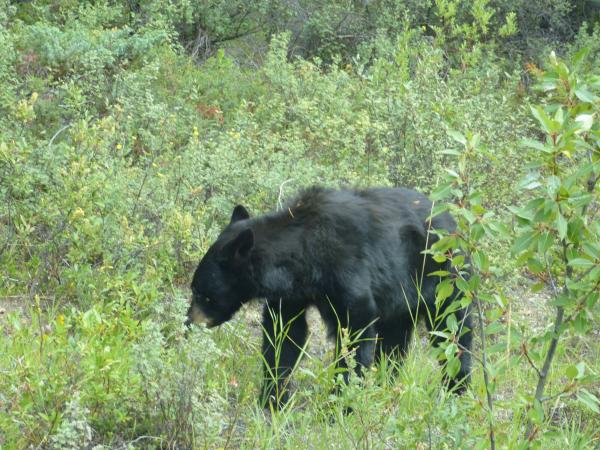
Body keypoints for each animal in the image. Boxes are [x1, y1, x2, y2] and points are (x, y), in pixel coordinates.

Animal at [185, 188, 472, 406]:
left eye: (200, 292)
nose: (188, 324)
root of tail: (455, 221)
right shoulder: (291, 294)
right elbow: (284, 335)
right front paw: (272, 399)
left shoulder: (347, 273)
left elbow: (356, 332)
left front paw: (341, 403)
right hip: (401, 299)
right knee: (393, 343)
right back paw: (384, 386)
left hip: (445, 279)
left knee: (454, 332)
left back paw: (456, 390)